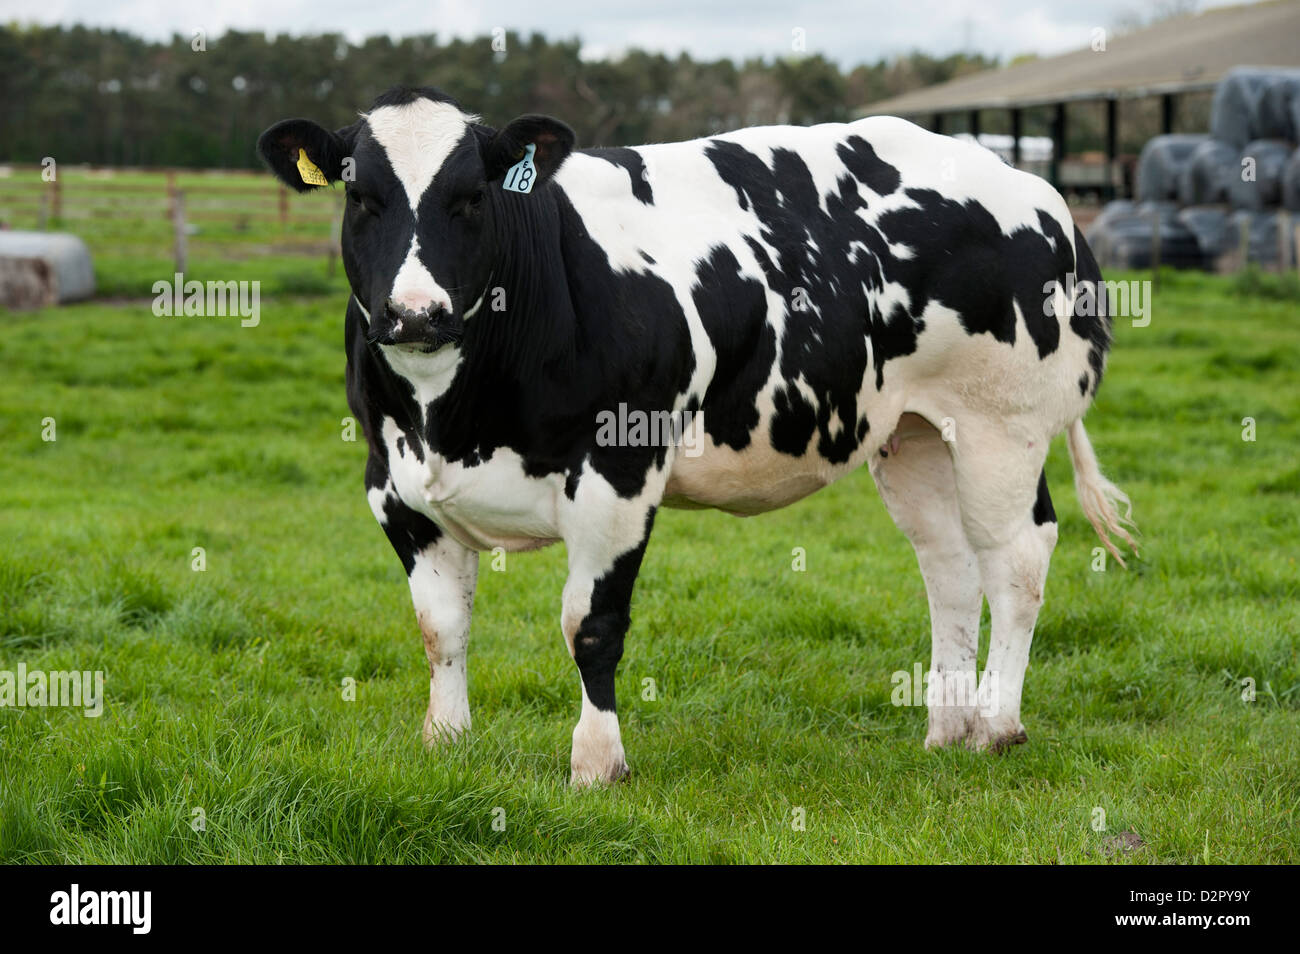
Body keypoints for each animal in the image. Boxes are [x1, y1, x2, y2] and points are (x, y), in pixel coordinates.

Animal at [257, 87, 1137, 785]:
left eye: (472, 195)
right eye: (360, 195)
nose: (416, 313)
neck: (452, 414)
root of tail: (1035, 189)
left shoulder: (618, 473)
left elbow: (590, 626)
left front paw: (597, 763)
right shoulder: (395, 486)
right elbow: (441, 627)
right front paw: (446, 743)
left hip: (1001, 424)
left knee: (1014, 557)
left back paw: (995, 726)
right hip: (913, 431)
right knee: (948, 564)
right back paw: (946, 728)